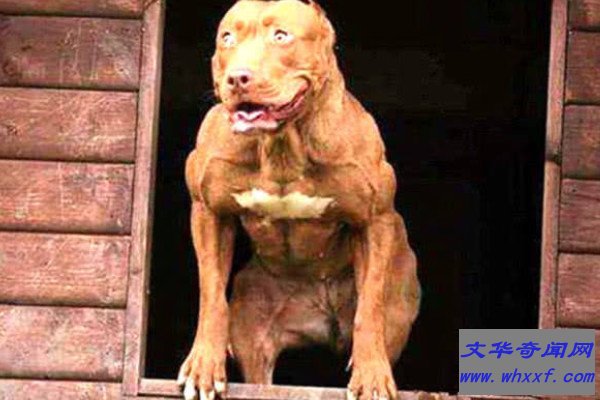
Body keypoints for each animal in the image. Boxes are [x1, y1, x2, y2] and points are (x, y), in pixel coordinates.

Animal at [178, 1, 421, 399]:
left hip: (399, 311)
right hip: (255, 329)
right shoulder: (208, 211)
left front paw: (371, 376)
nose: (238, 78)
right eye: (227, 38)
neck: (282, 146)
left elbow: (370, 309)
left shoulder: (374, 219)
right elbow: (211, 293)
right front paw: (204, 365)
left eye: (281, 36)